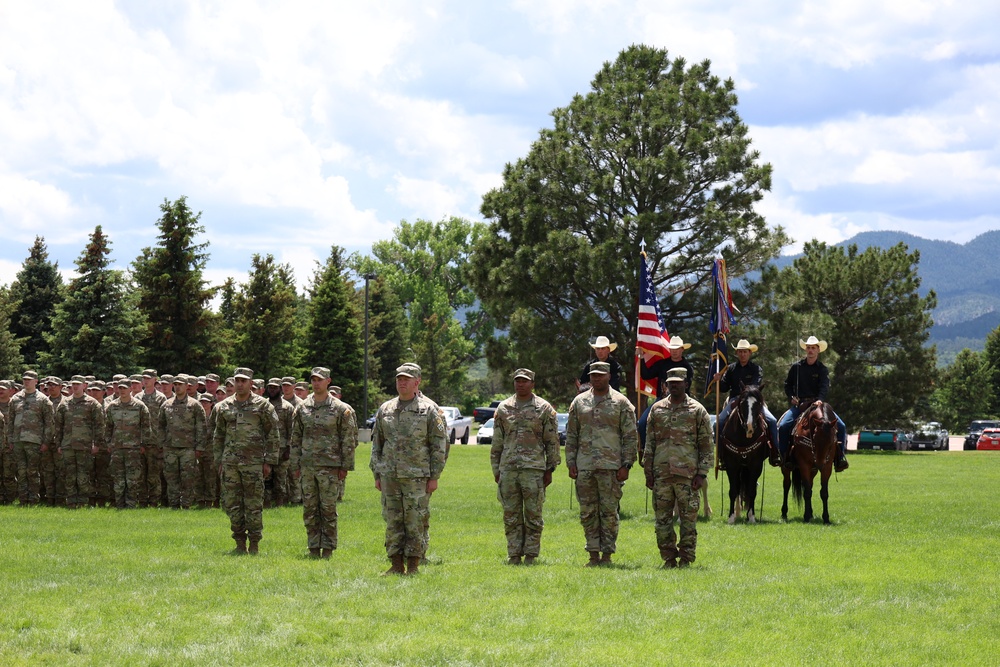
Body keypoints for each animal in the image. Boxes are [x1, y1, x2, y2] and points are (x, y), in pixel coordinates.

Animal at [724, 386, 768, 528]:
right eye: (743, 403)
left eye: (758, 404)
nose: (749, 426)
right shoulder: (731, 464)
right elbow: (733, 490)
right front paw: (731, 517)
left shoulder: (755, 465)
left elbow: (752, 490)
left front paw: (752, 517)